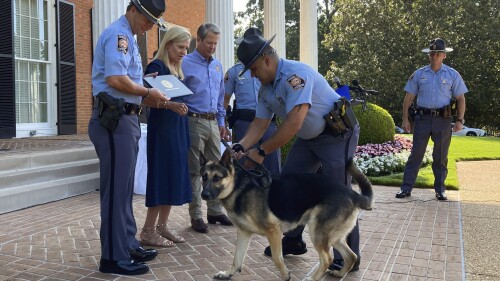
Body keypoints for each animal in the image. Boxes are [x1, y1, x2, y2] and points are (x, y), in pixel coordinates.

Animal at [199, 151, 372, 280]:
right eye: (204, 177)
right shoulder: (243, 233)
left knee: (327, 259)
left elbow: (277, 258)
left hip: (317, 233)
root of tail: (352, 193)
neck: (238, 188)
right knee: (351, 256)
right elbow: (237, 259)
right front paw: (228, 274)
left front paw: (286, 275)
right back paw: (340, 273)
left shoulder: (273, 231)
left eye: (217, 178)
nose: (203, 195)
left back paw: (312, 278)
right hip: (332, 237)